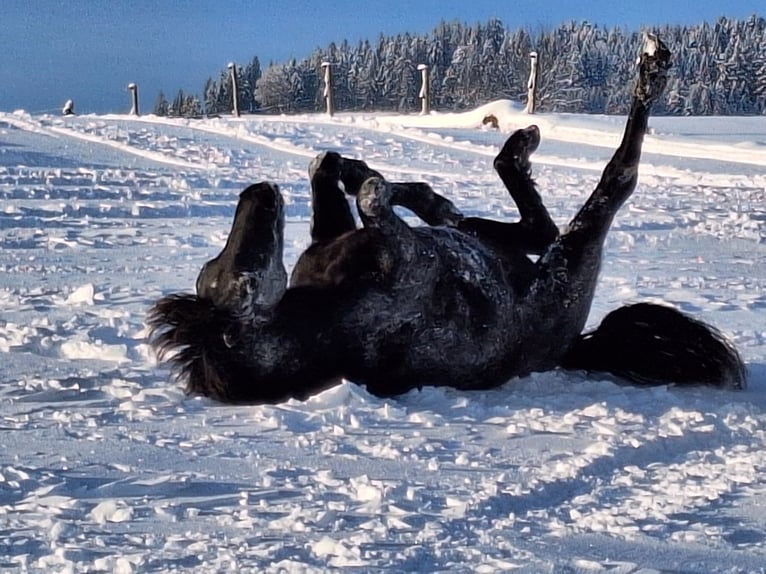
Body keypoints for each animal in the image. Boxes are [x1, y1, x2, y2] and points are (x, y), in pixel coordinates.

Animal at [148, 37, 744, 404]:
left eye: (213, 271)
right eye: (241, 280)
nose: (257, 194)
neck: (325, 317)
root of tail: (577, 344)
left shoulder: (330, 242)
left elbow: (331, 178)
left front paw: (354, 167)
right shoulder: (405, 262)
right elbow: (373, 201)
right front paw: (379, 183)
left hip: (509, 246)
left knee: (521, 223)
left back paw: (484, 166)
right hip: (573, 256)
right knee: (612, 182)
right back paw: (649, 71)